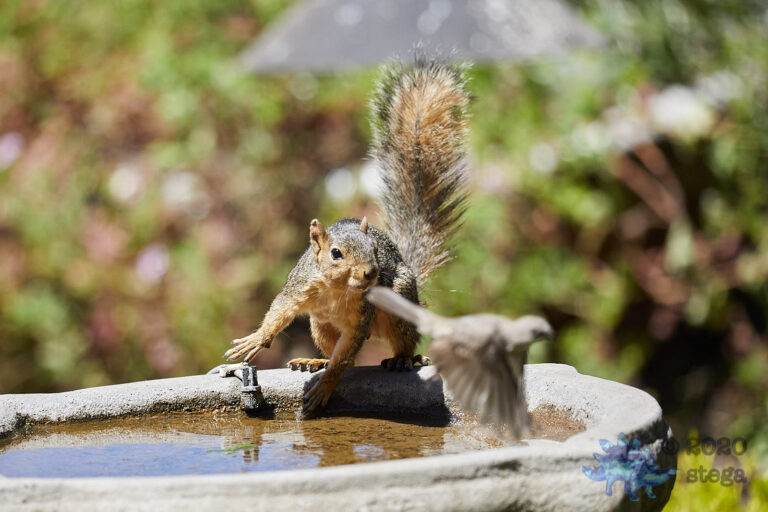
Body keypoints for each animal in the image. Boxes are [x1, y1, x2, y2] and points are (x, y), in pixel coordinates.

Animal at [225, 55, 470, 416]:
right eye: (336, 253)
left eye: (375, 249)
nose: (371, 273)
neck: (337, 290)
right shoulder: (299, 287)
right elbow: (279, 312)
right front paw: (256, 339)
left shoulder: (360, 320)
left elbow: (345, 356)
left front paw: (325, 388)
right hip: (320, 327)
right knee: (340, 354)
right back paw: (314, 361)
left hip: (399, 300)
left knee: (397, 341)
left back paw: (404, 359)